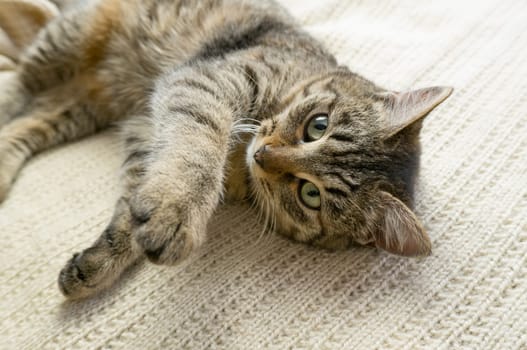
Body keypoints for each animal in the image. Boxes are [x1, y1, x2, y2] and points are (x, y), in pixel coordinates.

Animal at [0, 0, 454, 300]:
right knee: (17, 84)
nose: (264, 155)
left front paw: (102, 261)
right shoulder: (207, 83)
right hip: (66, 41)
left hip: (75, 107)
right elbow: (196, 151)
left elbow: (131, 209)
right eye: (318, 125)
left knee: (27, 121)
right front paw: (178, 210)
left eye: (310, 194)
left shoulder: (145, 133)